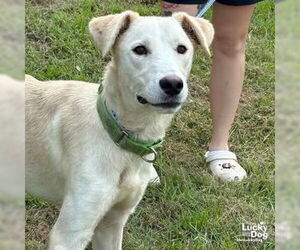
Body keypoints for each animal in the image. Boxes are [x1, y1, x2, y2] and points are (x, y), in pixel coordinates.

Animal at [25, 10, 213, 249]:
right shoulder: (69, 234)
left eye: (181, 48)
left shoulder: (112, 223)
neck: (122, 138)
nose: (172, 84)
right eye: (140, 49)